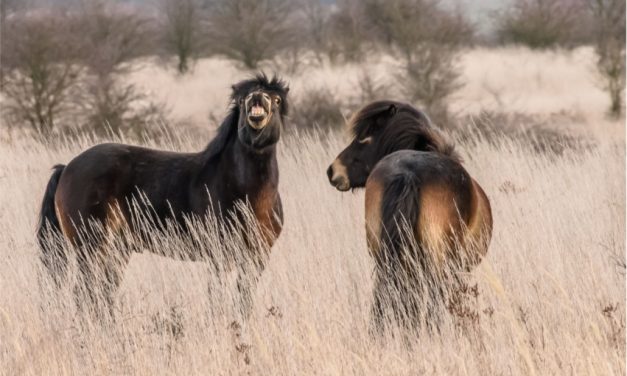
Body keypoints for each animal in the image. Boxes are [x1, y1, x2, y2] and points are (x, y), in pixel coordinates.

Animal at [35, 72, 288, 318]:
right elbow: (217, 297)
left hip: (117, 250)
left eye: (277, 99)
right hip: (90, 246)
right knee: (85, 292)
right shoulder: (219, 256)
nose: (257, 98)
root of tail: (67, 167)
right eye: (242, 99)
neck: (247, 195)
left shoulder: (257, 256)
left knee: (104, 292)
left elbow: (243, 299)